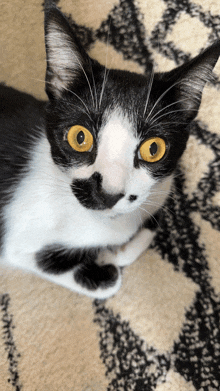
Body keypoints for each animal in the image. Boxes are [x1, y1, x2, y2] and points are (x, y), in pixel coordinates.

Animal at [0, 2, 219, 300]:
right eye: (80, 137)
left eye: (154, 148)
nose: (108, 193)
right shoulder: (17, 242)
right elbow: (106, 280)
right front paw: (104, 261)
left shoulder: (160, 192)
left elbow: (150, 224)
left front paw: (116, 251)